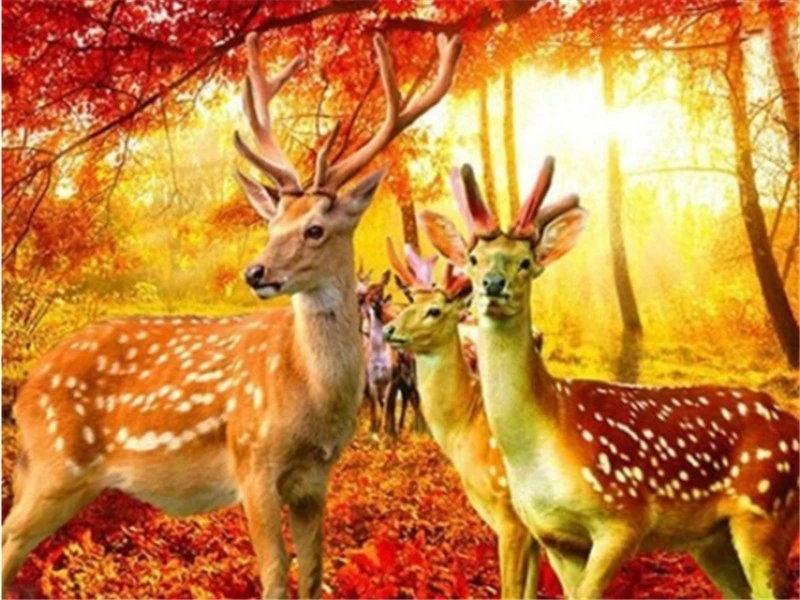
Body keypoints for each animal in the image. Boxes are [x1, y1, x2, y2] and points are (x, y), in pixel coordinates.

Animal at [2, 31, 462, 598]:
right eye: (272, 224)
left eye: (315, 228)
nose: (256, 272)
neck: (311, 397)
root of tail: (26, 392)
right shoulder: (252, 461)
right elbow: (275, 573)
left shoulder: (315, 479)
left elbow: (313, 573)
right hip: (55, 464)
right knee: (8, 539)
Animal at [420, 159, 800, 600]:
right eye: (475, 258)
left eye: (526, 261)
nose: (493, 285)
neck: (548, 433)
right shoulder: (555, 537)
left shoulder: (623, 517)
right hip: (712, 539)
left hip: (765, 513)